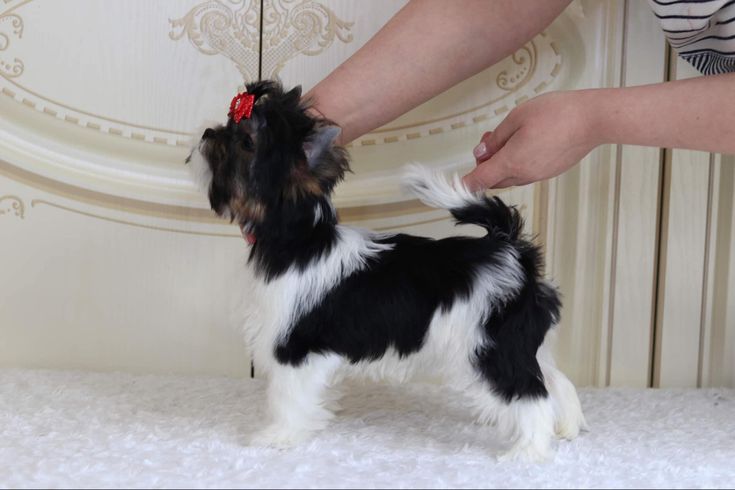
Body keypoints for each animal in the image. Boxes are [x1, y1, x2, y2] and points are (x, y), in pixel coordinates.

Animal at [188, 81, 588, 464]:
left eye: (245, 141)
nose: (207, 132)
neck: (300, 241)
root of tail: (510, 250)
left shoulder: (293, 346)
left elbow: (286, 395)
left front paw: (277, 436)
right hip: (520, 340)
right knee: (554, 380)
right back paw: (565, 427)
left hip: (489, 346)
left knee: (528, 393)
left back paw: (529, 451)